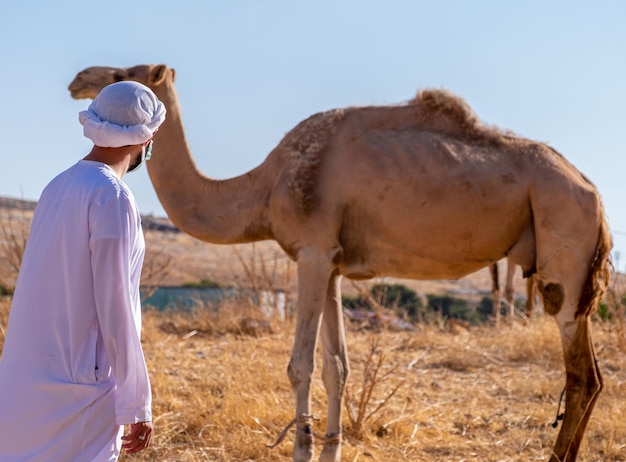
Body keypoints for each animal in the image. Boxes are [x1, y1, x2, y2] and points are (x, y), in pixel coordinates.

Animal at [69, 65, 608, 462]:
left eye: (123, 74)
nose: (78, 80)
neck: (264, 187)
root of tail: (593, 192)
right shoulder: (331, 263)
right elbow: (337, 367)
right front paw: (330, 449)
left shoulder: (310, 254)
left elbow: (301, 364)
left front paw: (302, 450)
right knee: (593, 376)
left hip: (562, 231)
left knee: (580, 371)